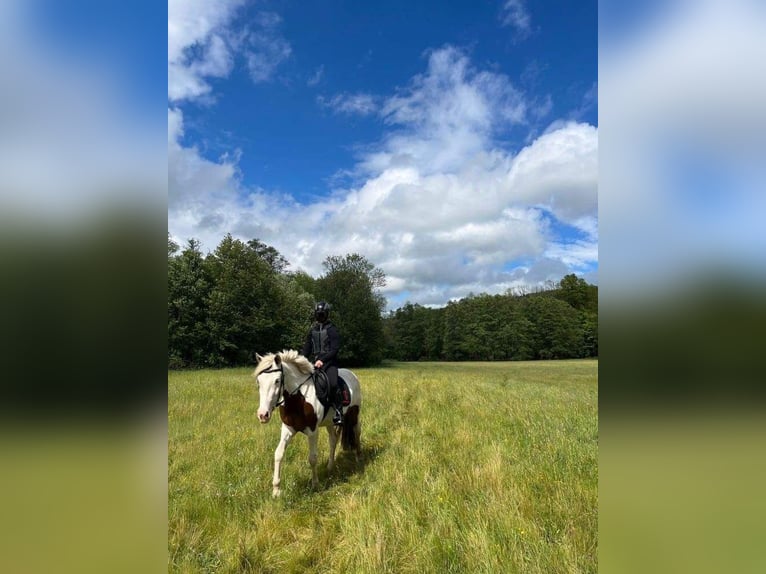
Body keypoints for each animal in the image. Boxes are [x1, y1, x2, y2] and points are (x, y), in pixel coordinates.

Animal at [254, 352, 364, 500]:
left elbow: (312, 458)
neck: (298, 399)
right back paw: (330, 466)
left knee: (357, 432)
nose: (263, 415)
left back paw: (358, 457)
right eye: (259, 382)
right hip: (330, 422)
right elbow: (278, 454)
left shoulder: (312, 431)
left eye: (277, 381)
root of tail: (351, 374)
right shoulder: (287, 429)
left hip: (354, 414)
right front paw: (276, 490)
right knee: (333, 440)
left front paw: (315, 484)